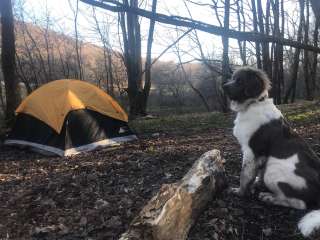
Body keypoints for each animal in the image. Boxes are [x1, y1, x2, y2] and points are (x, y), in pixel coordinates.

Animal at [224, 66, 320, 237]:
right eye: (232, 78)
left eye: (240, 81)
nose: (224, 86)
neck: (253, 104)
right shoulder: (261, 156)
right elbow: (255, 173)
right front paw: (256, 183)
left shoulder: (250, 151)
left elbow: (244, 175)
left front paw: (240, 192)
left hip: (274, 171)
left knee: (300, 203)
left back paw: (270, 197)